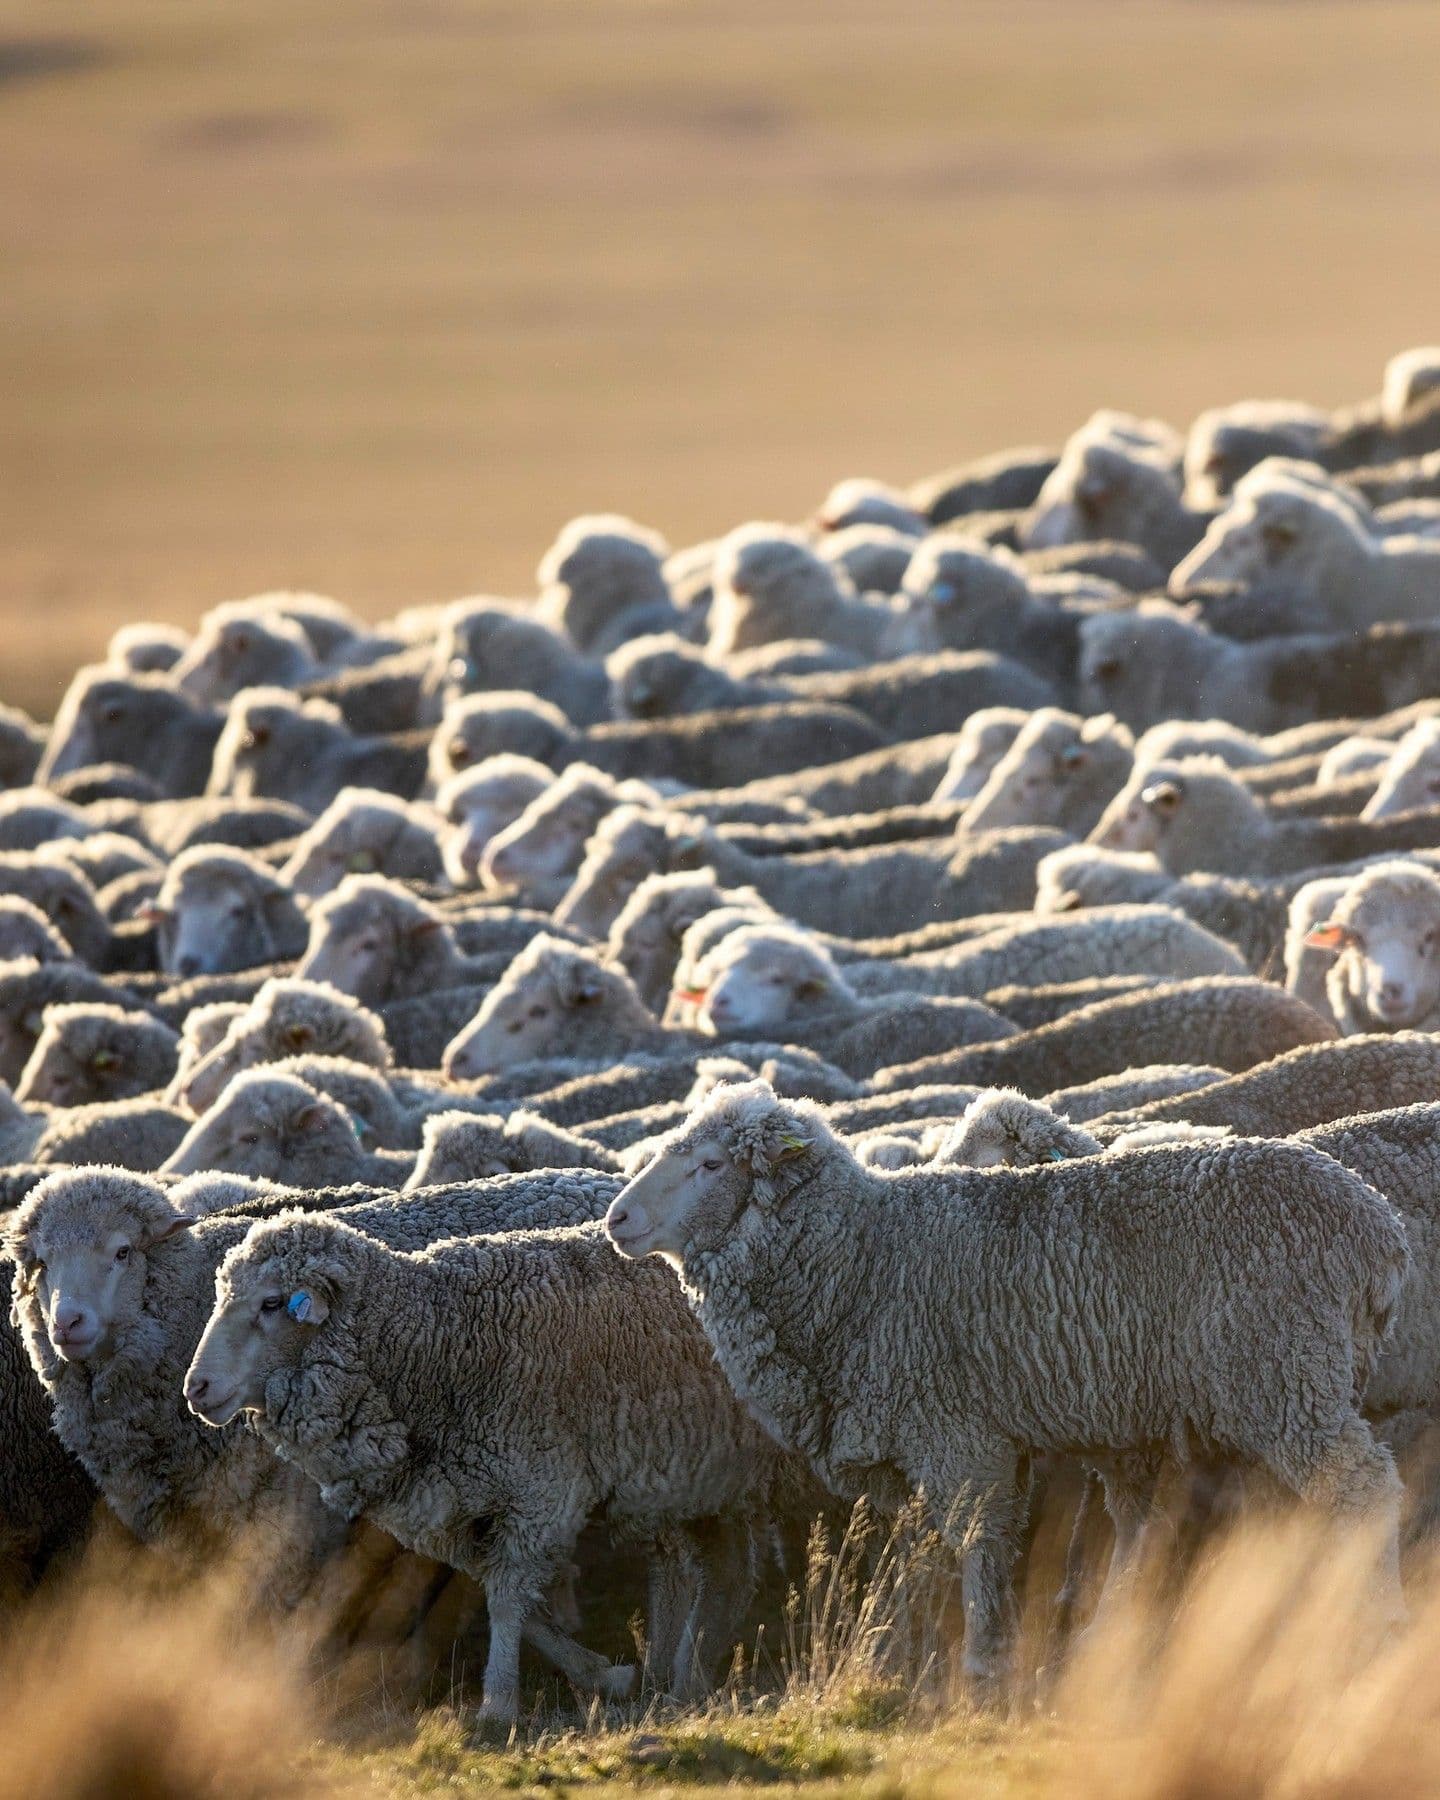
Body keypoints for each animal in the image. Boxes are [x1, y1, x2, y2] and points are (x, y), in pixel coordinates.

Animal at [187, 1210, 784, 1716]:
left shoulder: (541, 1491)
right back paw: (683, 1679)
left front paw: (498, 1704)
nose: (196, 1388)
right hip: (697, 1471)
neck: (437, 1343)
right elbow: (516, 1604)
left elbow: (506, 1600)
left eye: (271, 1304)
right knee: (723, 1568)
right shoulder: (455, 1507)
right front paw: (604, 1675)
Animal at [605, 1079, 1408, 1686]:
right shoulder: (999, 1436)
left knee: (1364, 1490)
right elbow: (996, 1543)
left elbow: (977, 1541)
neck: (862, 1255)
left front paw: (984, 1662)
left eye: (711, 1165)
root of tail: (1377, 1227)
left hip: (1285, 1376)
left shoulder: (957, 1432)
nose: (616, 1218)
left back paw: (1372, 1622)